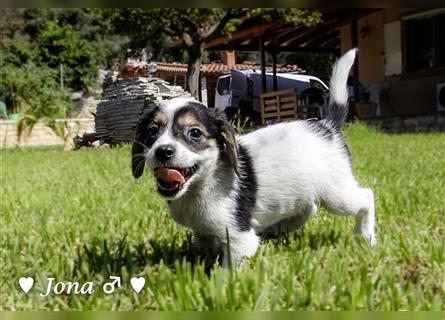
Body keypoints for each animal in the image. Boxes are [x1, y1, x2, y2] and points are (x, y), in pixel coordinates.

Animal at [131, 48, 374, 266]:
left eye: (195, 133)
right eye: (153, 131)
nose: (163, 151)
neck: (201, 187)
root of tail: (328, 126)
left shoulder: (240, 239)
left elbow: (227, 270)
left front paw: (219, 283)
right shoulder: (202, 231)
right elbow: (205, 247)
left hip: (336, 194)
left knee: (366, 198)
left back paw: (366, 236)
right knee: (309, 208)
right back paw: (279, 228)